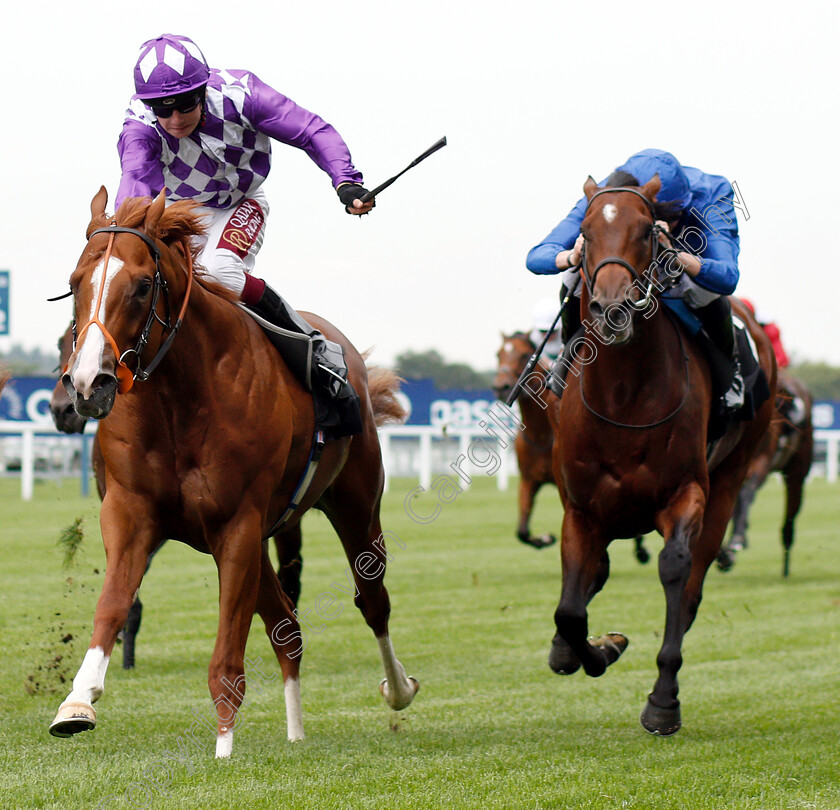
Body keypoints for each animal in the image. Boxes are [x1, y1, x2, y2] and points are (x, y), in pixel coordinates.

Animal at [50, 188, 418, 752]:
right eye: (75, 284)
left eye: (141, 287)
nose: (88, 384)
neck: (181, 399)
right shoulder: (131, 512)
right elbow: (112, 604)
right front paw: (77, 702)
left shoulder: (237, 524)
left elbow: (227, 651)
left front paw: (223, 747)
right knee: (287, 628)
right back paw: (295, 734)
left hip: (355, 505)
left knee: (371, 600)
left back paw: (397, 689)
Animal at [540, 175, 776, 732]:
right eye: (584, 232)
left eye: (648, 231)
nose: (612, 308)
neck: (624, 397)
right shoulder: (580, 508)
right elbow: (570, 609)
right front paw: (597, 649)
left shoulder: (686, 491)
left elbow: (675, 570)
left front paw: (662, 700)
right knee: (594, 577)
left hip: (729, 481)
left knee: (692, 583)